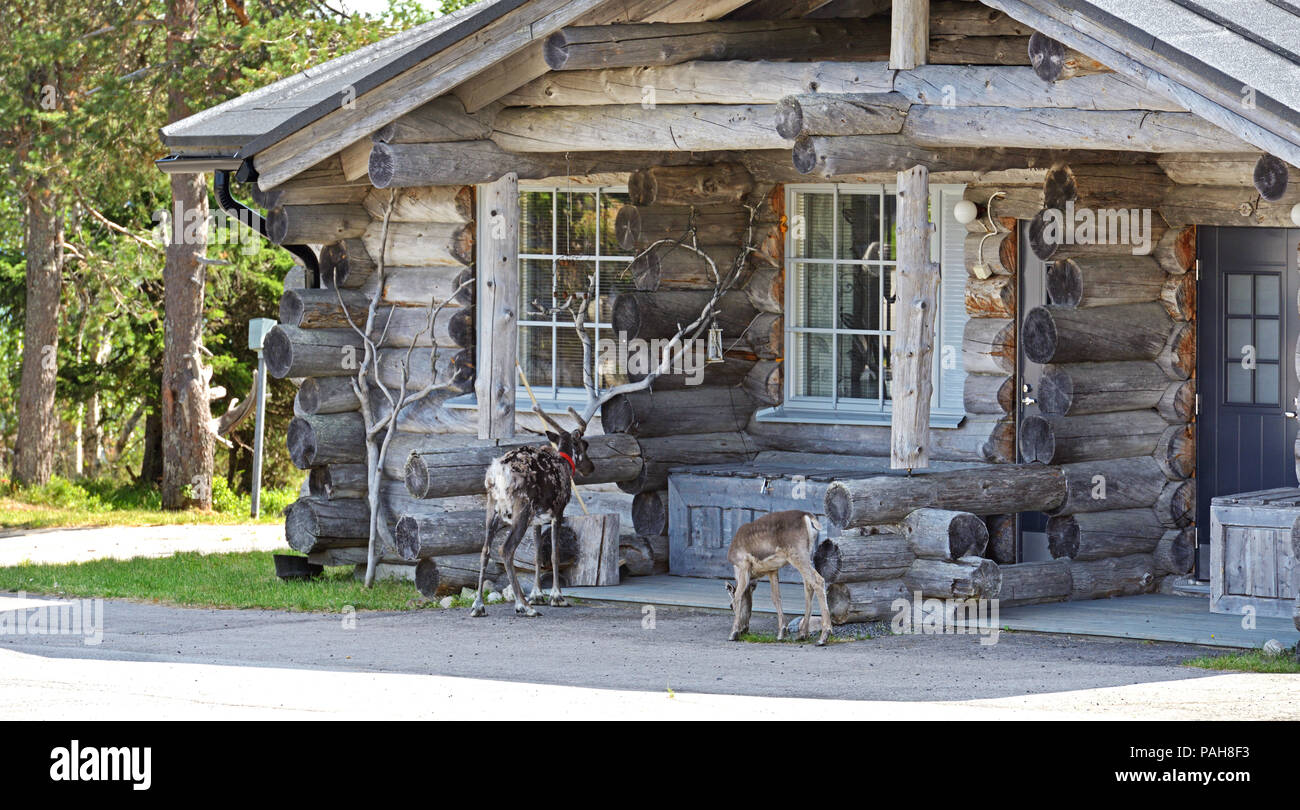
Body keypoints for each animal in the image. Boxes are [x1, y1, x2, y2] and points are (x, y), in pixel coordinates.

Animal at [722, 512, 832, 647]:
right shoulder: (772, 569)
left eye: (730, 606)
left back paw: (823, 636)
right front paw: (781, 632)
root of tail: (808, 517)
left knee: (818, 581)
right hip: (809, 554)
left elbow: (737, 596)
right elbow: (776, 597)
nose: (744, 630)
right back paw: (802, 634)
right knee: (808, 586)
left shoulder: (743, 564)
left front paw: (733, 633)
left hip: (796, 553)